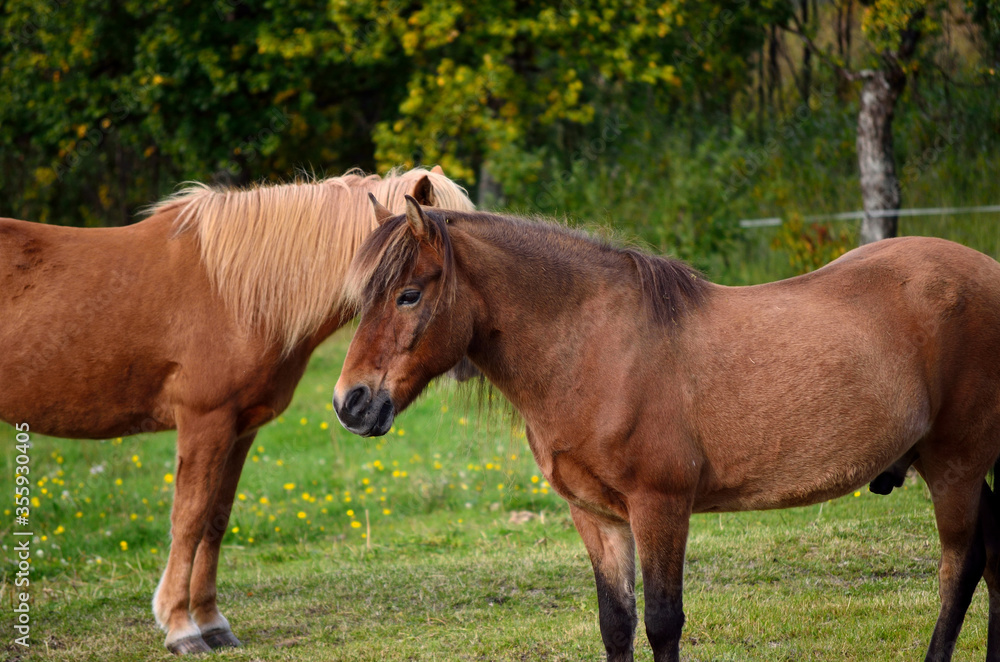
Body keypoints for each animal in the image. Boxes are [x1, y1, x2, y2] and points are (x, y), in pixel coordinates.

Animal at [0, 169, 476, 656]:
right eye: (416, 289)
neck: (234, 294)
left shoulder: (240, 428)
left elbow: (215, 520)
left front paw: (212, 623)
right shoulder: (204, 422)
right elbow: (188, 520)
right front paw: (181, 627)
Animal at [334, 197, 1000, 662]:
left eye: (409, 295)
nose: (350, 402)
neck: (596, 350)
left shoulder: (660, 506)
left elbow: (662, 622)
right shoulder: (596, 516)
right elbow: (617, 623)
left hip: (956, 466)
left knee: (961, 568)